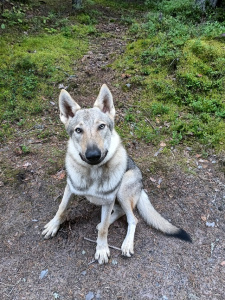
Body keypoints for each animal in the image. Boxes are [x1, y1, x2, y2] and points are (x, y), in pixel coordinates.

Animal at [41, 84, 190, 262]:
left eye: (101, 126)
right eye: (78, 130)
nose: (93, 155)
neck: (93, 174)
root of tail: (141, 185)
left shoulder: (108, 200)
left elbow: (104, 229)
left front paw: (102, 249)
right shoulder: (70, 188)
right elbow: (61, 208)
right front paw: (53, 225)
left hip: (122, 191)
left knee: (132, 219)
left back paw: (126, 244)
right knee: (119, 213)